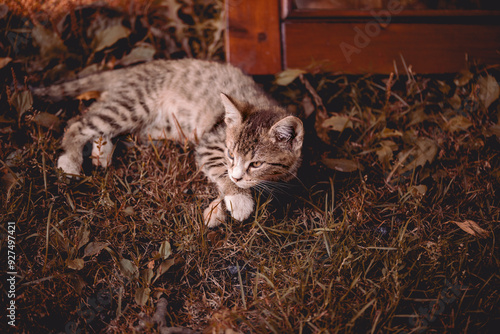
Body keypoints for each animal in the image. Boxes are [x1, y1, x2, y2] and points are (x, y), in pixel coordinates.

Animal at [35, 59, 302, 227]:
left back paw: (102, 152)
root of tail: (135, 68)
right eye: (230, 154)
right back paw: (70, 161)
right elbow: (221, 172)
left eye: (256, 164)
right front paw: (238, 199)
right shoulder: (209, 144)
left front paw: (217, 210)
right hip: (132, 105)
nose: (237, 176)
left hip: (153, 126)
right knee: (78, 123)